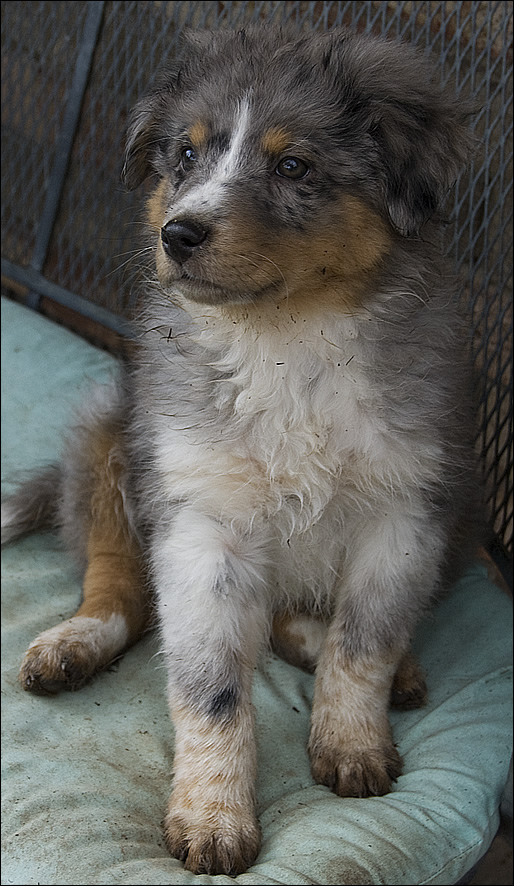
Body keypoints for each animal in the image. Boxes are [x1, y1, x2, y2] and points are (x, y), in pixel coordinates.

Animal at [2, 22, 478, 880]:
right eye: (185, 156)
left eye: (293, 166)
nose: (178, 234)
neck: (287, 337)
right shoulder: (201, 520)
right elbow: (211, 687)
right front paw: (212, 818)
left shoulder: (406, 514)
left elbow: (363, 644)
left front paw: (351, 744)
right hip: (109, 437)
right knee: (117, 586)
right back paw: (72, 645)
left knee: (300, 623)